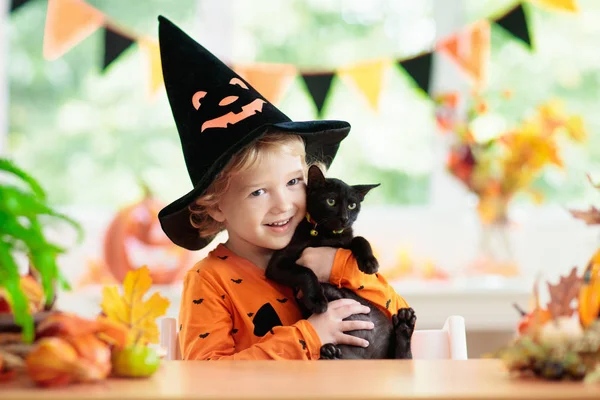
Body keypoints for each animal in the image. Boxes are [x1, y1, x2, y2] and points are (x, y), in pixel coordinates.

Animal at [264, 165, 414, 360]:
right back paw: (330, 353)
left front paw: (370, 263)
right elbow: (306, 271)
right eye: (331, 201)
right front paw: (317, 300)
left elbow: (359, 239)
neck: (326, 234)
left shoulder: (347, 237)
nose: (344, 218)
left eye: (352, 205)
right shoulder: (277, 264)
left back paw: (405, 323)